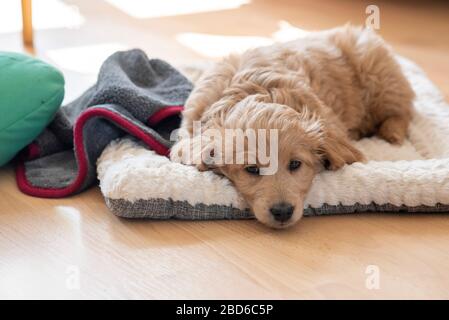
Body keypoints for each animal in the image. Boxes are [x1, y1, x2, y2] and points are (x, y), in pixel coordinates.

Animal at [171, 25, 412, 228]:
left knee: (401, 110)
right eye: (252, 169)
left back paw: (392, 132)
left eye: (295, 164)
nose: (283, 211)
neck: (257, 90)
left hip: (380, 78)